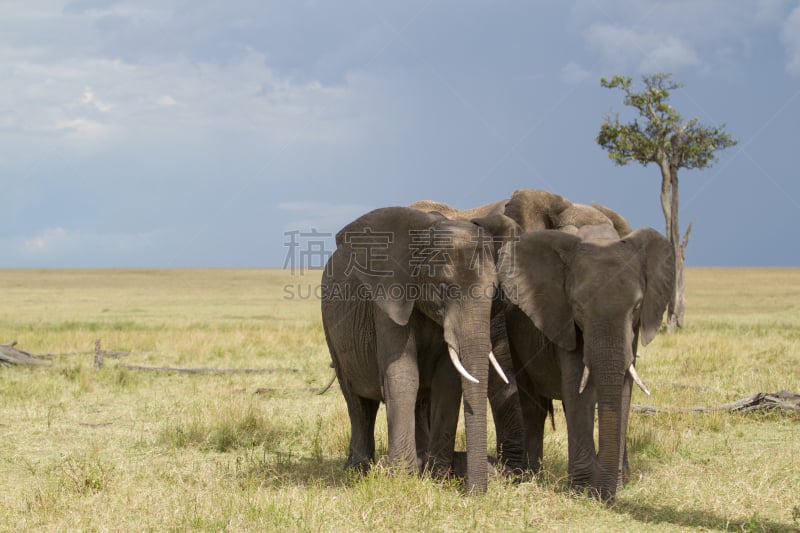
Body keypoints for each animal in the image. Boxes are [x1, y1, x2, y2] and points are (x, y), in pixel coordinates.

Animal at [318, 206, 506, 492]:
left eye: (494, 290)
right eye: (444, 287)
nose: (475, 494)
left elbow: (447, 381)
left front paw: (438, 478)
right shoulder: (387, 301)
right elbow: (403, 374)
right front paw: (402, 479)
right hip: (332, 331)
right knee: (358, 403)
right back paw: (357, 471)